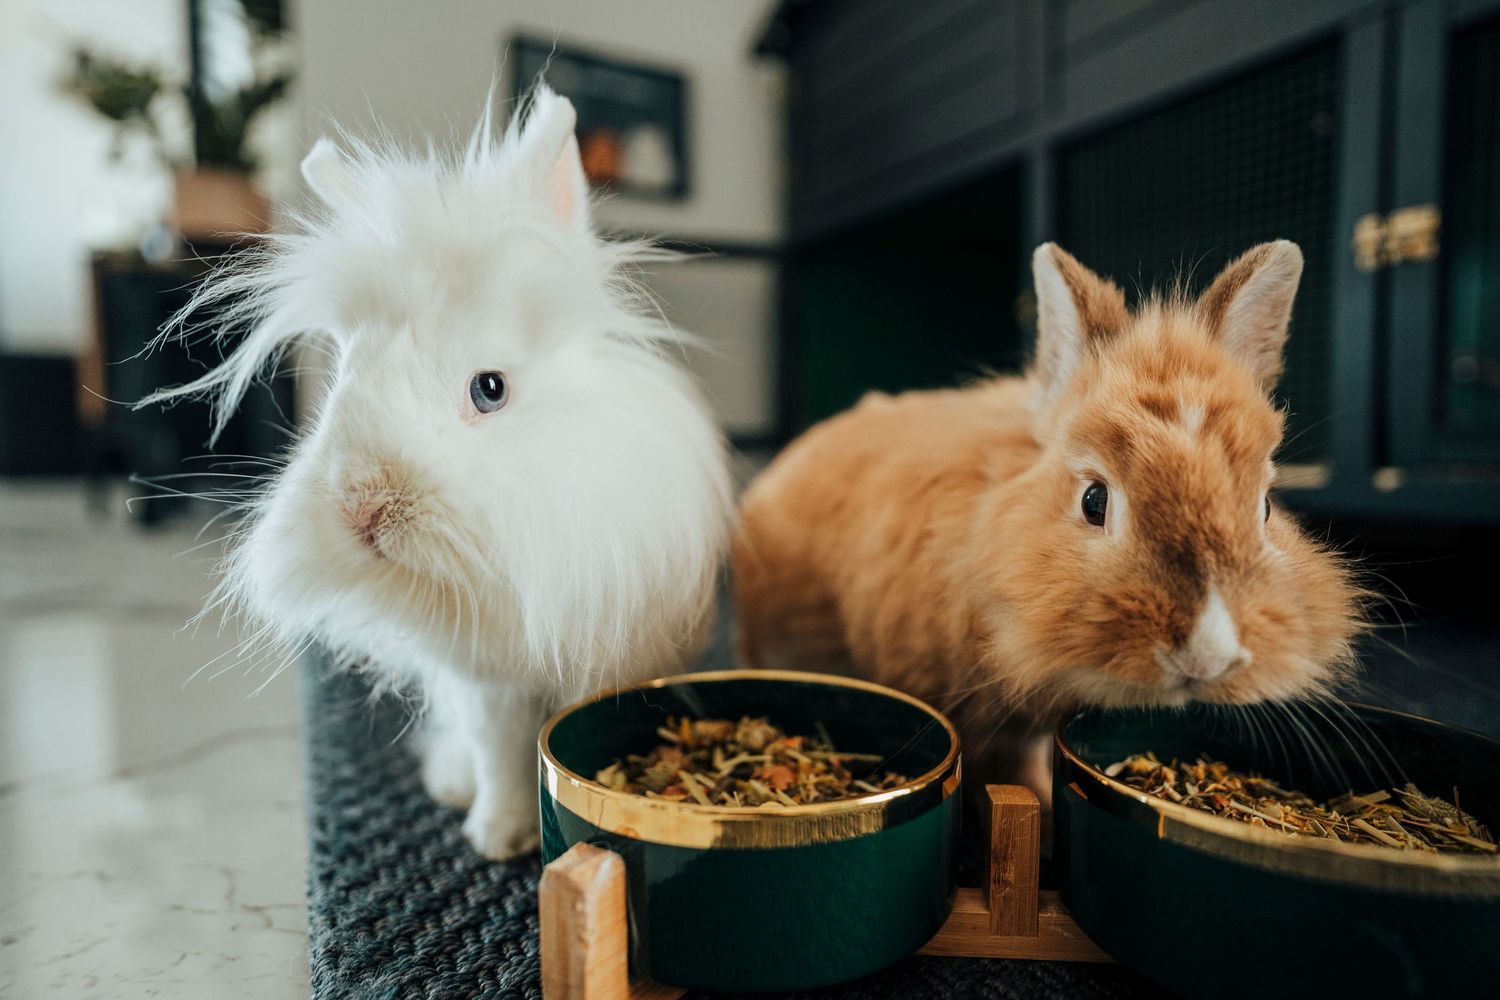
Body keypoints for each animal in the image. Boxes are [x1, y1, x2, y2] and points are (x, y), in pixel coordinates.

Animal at [139, 86, 734, 860]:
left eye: (490, 389)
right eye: (346, 374)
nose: (362, 505)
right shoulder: (485, 686)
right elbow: (501, 757)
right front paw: (498, 837)